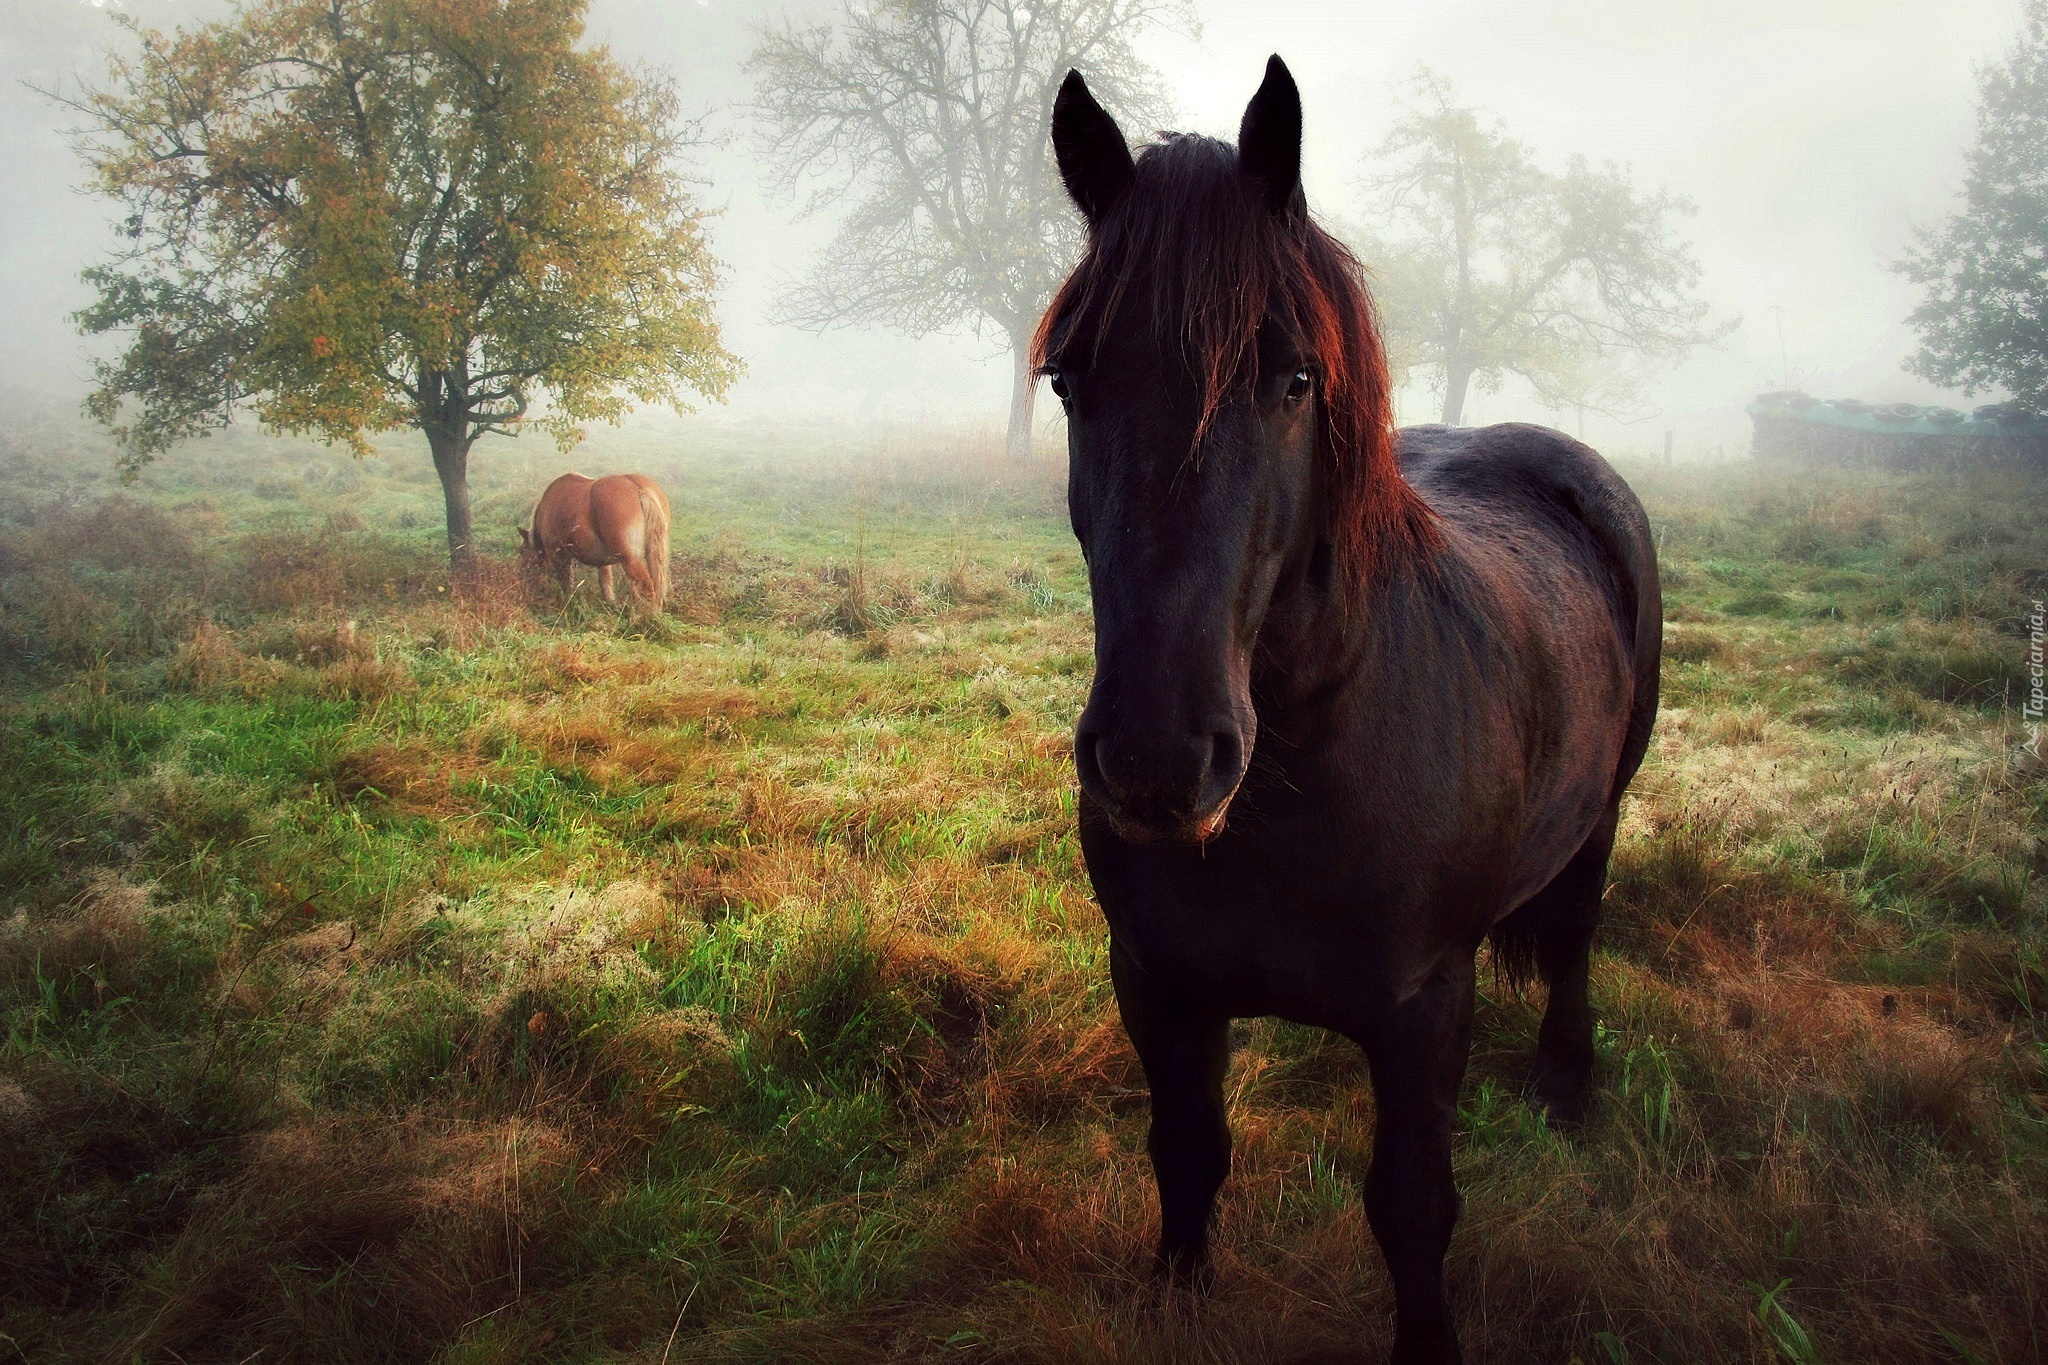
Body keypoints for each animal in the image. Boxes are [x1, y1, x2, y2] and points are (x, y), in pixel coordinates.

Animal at [520, 474, 671, 613]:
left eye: (523, 553)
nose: (525, 579)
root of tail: (639, 488)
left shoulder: (558, 554)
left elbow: (566, 581)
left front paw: (569, 602)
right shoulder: (604, 562)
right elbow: (606, 583)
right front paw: (612, 606)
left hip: (631, 561)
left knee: (648, 588)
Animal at [1040, 56, 1662, 1365]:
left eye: (1292, 379)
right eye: (1069, 380)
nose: (1157, 762)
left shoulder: (1423, 1012)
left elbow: (1412, 1208)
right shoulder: (1157, 983)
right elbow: (1187, 1152)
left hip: (1600, 816)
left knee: (1576, 934)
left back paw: (1566, 1086)